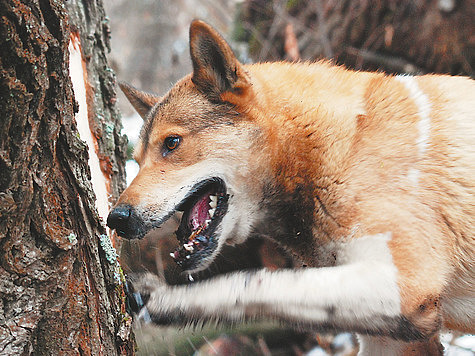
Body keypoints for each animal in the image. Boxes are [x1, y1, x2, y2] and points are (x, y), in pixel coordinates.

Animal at [109, 20, 475, 356]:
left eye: (171, 143)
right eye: (137, 159)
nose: (116, 218)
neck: (337, 150)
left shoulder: (404, 287)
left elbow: (253, 283)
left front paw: (170, 300)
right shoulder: (394, 337)